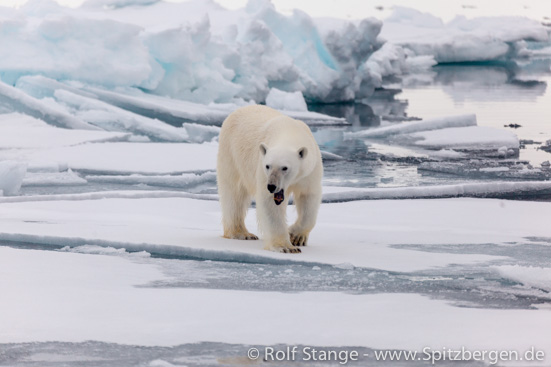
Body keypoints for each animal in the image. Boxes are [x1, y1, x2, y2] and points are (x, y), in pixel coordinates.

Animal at [218, 105, 324, 254]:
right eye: (268, 166)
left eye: (285, 168)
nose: (271, 186)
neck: (289, 132)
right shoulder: (262, 170)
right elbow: (270, 204)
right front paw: (285, 247)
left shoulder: (310, 171)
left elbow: (308, 197)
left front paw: (296, 237)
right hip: (231, 154)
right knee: (234, 193)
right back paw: (242, 233)